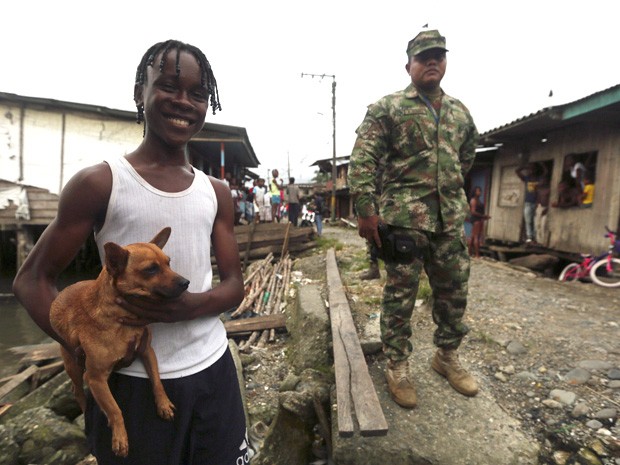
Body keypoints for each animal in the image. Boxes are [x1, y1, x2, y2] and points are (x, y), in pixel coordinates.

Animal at [50, 227, 189, 454]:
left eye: (169, 263)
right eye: (151, 269)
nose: (186, 283)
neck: (122, 320)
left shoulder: (147, 351)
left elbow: (157, 381)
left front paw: (163, 404)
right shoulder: (95, 377)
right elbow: (115, 409)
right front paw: (120, 438)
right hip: (74, 367)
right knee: (78, 392)